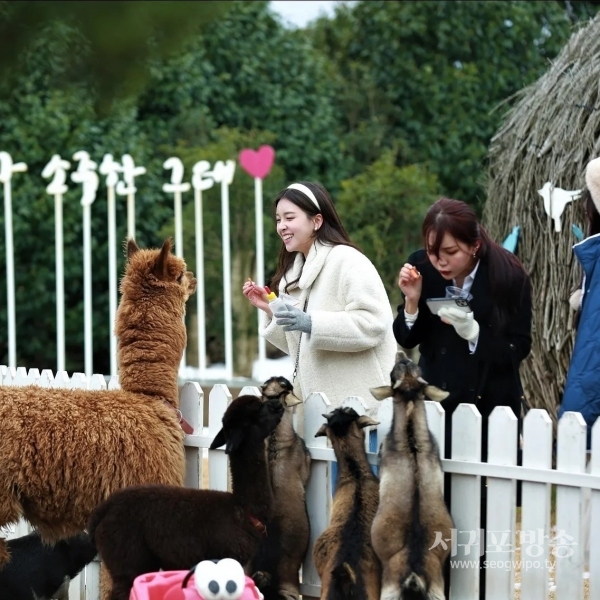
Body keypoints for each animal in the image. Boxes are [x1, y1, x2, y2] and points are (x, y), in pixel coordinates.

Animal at [368, 352, 452, 600]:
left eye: (392, 372)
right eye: (412, 366)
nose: (401, 354)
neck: (411, 439)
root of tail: (415, 572)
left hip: (390, 588)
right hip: (437, 589)